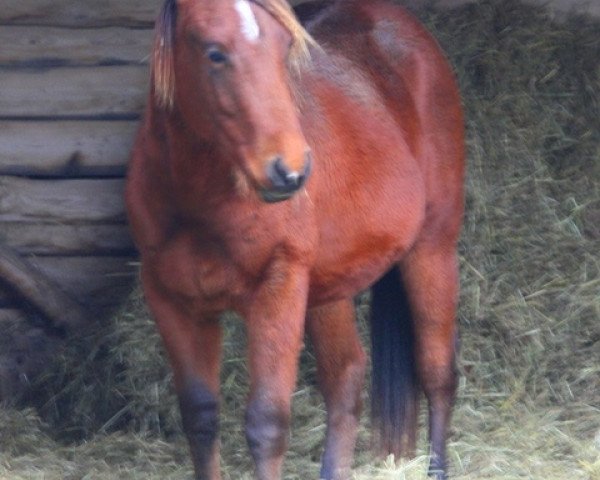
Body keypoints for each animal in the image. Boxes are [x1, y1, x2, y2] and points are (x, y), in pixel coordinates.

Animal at [126, 0, 464, 480]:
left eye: (286, 46)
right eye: (215, 53)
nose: (291, 170)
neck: (198, 201)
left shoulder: (279, 287)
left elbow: (267, 424)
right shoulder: (172, 300)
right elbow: (201, 418)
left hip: (432, 249)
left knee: (437, 372)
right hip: (328, 288)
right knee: (347, 378)